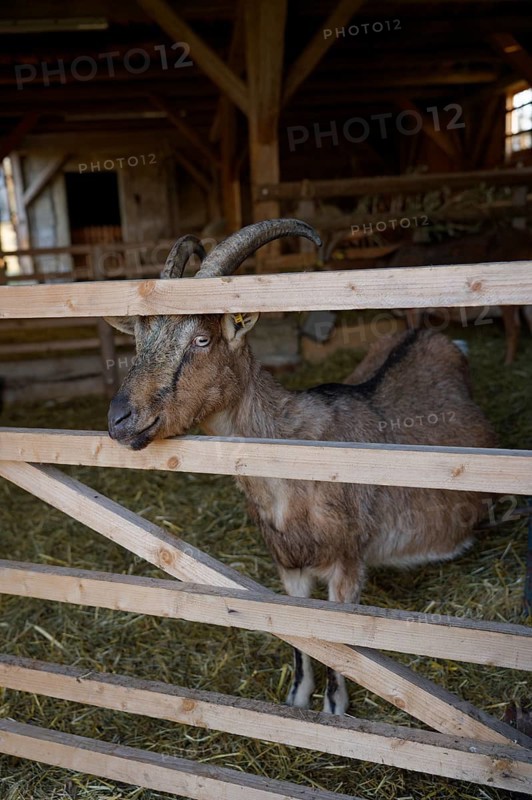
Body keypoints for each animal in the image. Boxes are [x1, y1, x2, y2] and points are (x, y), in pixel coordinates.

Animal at [106, 219, 497, 715]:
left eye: (202, 339)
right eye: (138, 341)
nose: (119, 419)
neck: (291, 464)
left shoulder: (347, 563)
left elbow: (337, 643)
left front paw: (334, 707)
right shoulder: (288, 566)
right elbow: (298, 636)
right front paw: (296, 698)